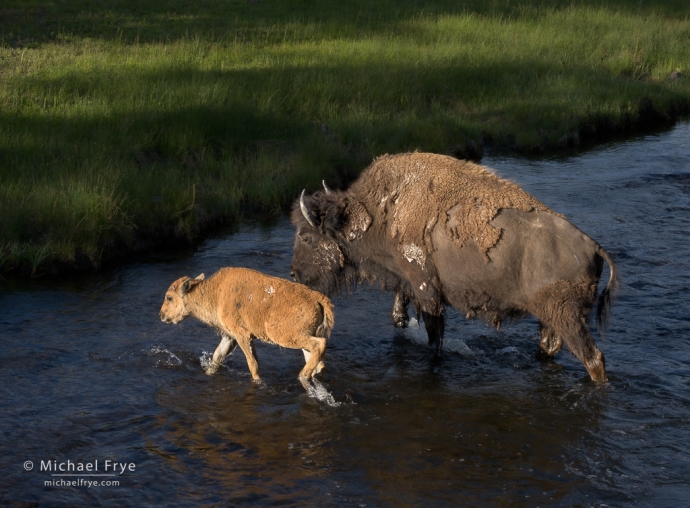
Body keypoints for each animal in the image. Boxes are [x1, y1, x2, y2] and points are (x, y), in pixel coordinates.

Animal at [159, 266, 336, 388]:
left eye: (169, 297)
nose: (161, 315)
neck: (215, 293)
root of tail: (317, 298)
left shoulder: (243, 336)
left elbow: (253, 364)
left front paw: (258, 382)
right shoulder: (230, 337)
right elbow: (217, 357)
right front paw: (207, 373)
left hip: (282, 335)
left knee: (320, 345)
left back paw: (302, 376)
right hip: (302, 338)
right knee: (319, 362)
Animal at [290, 153, 620, 382]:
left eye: (306, 236)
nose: (293, 273)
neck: (377, 213)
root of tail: (592, 246)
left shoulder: (427, 289)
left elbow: (434, 335)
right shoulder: (406, 280)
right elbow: (399, 312)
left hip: (568, 318)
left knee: (593, 358)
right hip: (550, 318)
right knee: (551, 346)